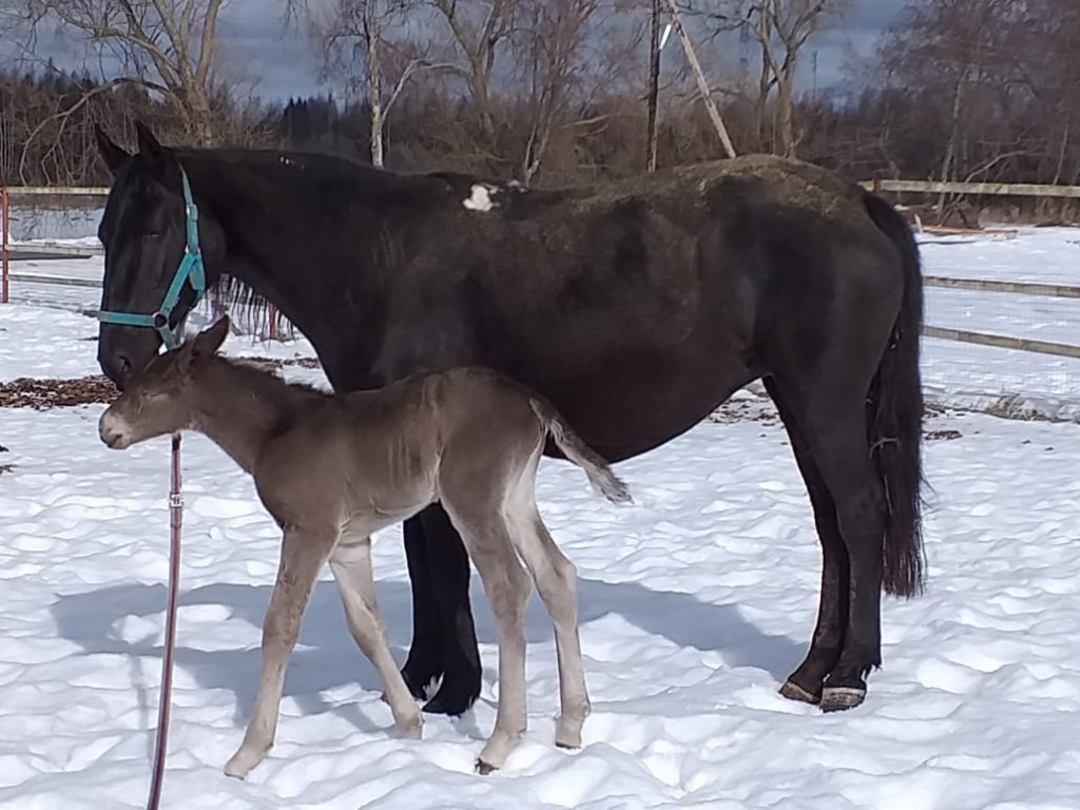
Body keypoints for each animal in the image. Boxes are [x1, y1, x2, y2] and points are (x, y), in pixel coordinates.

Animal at [92, 123, 924, 712]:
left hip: (823, 401)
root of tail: (860, 202)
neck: (382, 259)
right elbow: (423, 562)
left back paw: (845, 678)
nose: (118, 358)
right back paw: (811, 670)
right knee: (831, 530)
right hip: (797, 402)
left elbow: (445, 563)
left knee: (856, 520)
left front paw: (454, 690)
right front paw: (420, 677)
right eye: (104, 232)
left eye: (155, 229)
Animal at [99, 317, 630, 781]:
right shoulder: (347, 541)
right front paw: (409, 722)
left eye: (151, 393)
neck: (276, 431)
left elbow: (280, 626)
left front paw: (247, 753)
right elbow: (366, 627)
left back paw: (498, 744)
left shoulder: (308, 529)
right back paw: (570, 724)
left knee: (510, 585)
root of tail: (531, 400)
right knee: (555, 574)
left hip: (472, 499)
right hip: (514, 498)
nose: (107, 429)